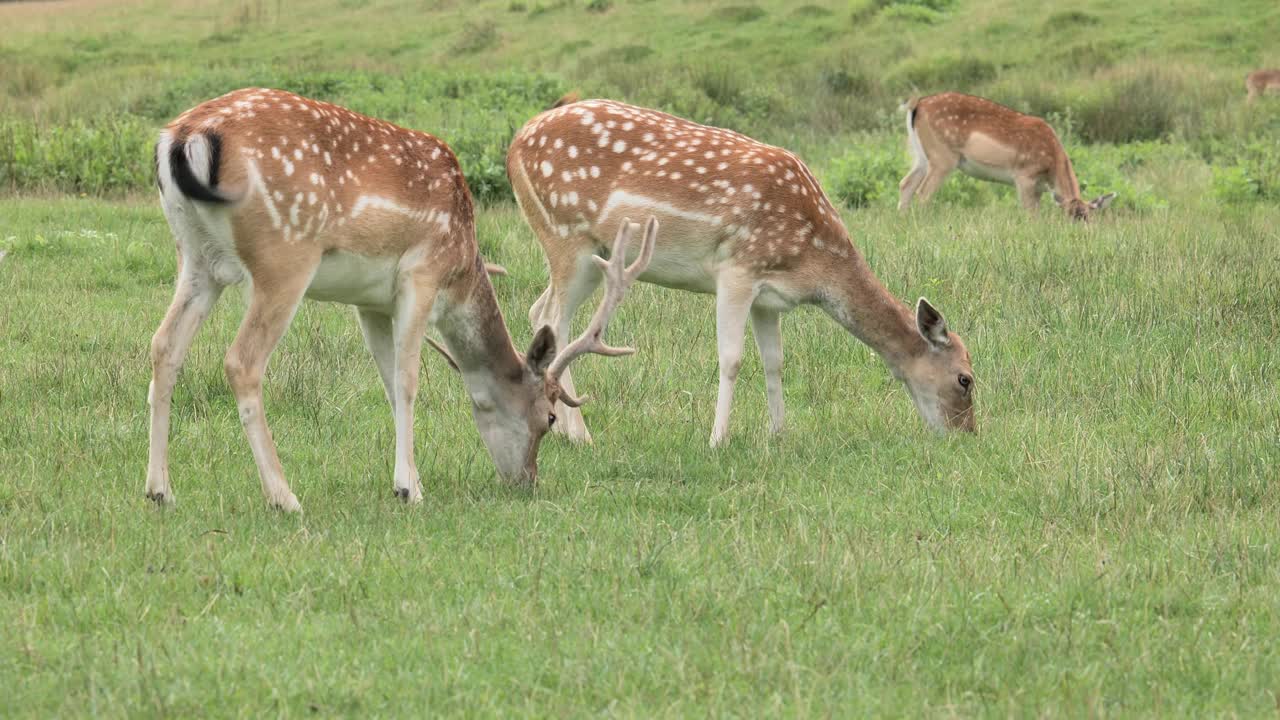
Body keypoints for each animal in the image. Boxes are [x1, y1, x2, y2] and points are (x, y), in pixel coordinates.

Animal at [145, 87, 655, 507]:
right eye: (548, 418)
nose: (527, 480)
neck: (461, 265)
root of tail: (185, 136)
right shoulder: (421, 274)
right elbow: (409, 381)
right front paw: (409, 490)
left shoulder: (369, 302)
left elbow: (389, 382)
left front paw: (412, 477)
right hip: (284, 257)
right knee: (241, 361)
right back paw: (284, 497)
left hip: (196, 257)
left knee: (164, 345)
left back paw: (160, 491)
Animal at [504, 95, 972, 443]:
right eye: (965, 379)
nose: (964, 433)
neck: (812, 260)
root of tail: (514, 144)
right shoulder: (737, 269)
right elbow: (731, 358)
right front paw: (717, 439)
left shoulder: (770, 297)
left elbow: (775, 361)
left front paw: (779, 434)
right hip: (566, 235)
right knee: (556, 321)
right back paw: (580, 434)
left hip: (591, 253)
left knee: (538, 311)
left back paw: (561, 428)